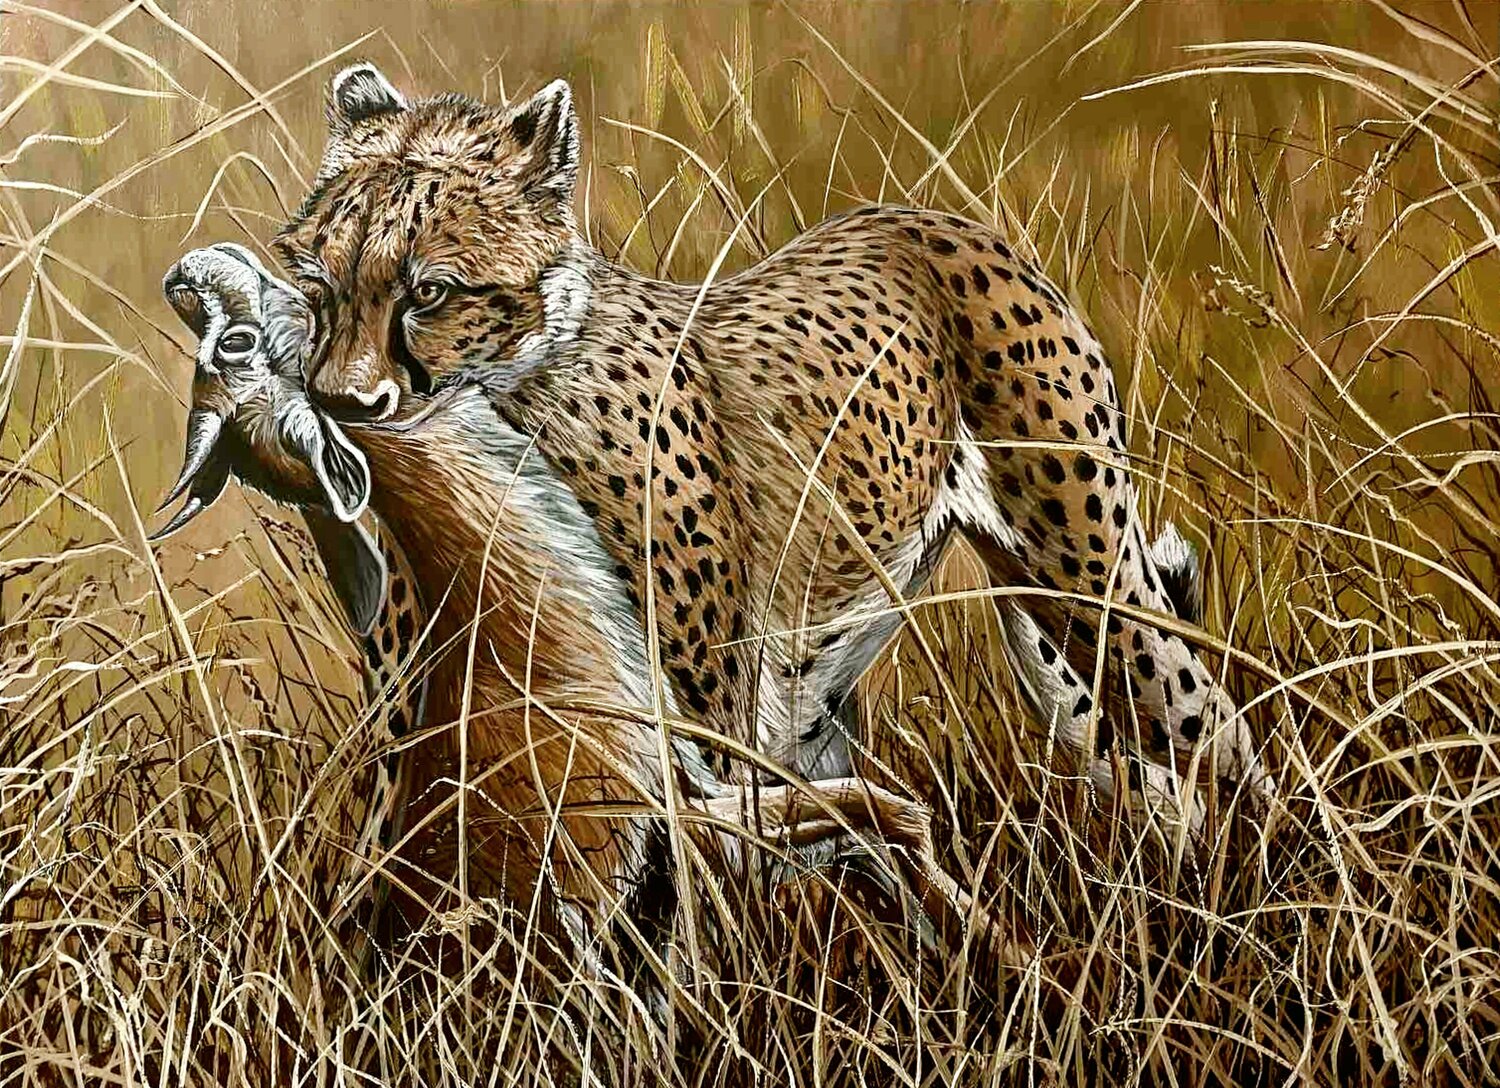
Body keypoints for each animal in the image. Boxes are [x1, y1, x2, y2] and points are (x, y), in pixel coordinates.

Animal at [270, 62, 1275, 832]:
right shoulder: (430, 720)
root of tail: (930, 220)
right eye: (317, 284)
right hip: (836, 686)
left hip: (1096, 598)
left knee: (1227, 745)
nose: (341, 403)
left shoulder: (692, 727)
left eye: (431, 292)